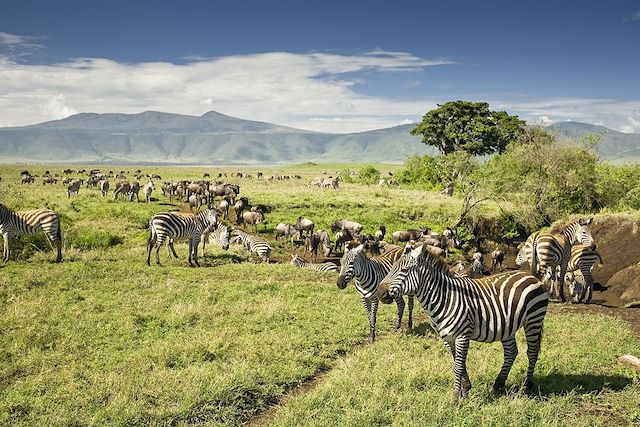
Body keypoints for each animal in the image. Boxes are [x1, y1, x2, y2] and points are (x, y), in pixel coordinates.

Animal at [378, 246, 548, 400]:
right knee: (511, 352)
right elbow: (458, 362)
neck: (444, 298)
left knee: (532, 352)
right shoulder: (446, 338)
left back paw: (526, 387)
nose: (380, 293)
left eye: (405, 270)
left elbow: (458, 366)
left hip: (534, 319)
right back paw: (498, 385)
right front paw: (465, 389)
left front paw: (456, 397)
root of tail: (530, 276)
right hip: (507, 325)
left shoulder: (462, 335)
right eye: (391, 269)